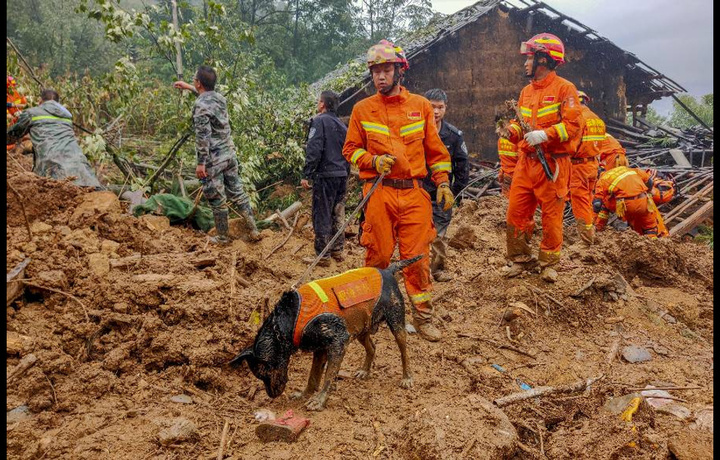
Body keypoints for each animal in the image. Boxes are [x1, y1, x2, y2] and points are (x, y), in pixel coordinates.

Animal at [229, 255, 422, 410]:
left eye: (264, 373)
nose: (272, 395)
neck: (289, 320)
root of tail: (388, 271)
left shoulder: (338, 342)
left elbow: (328, 377)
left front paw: (319, 400)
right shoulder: (319, 348)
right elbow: (313, 376)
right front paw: (305, 394)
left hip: (395, 321)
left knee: (404, 351)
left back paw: (407, 377)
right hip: (361, 325)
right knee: (372, 347)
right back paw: (365, 371)